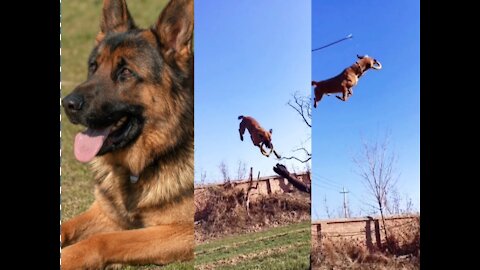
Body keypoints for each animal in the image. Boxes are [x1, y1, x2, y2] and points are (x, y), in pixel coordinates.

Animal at [61, 0, 193, 268]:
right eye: (93, 67)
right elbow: (66, 227)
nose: (67, 104)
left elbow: (104, 240)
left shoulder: (183, 230)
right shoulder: (104, 212)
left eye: (126, 73)